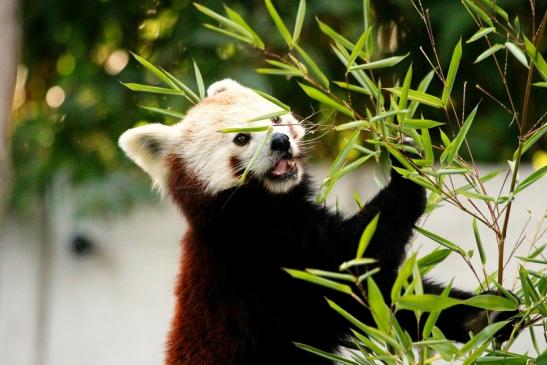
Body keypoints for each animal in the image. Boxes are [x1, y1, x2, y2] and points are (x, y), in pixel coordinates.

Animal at [119, 79, 520, 364]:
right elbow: (354, 256)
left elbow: (388, 301)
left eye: (275, 120)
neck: (261, 205)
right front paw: (403, 165)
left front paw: (485, 313)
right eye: (241, 138)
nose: (280, 142)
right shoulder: (270, 253)